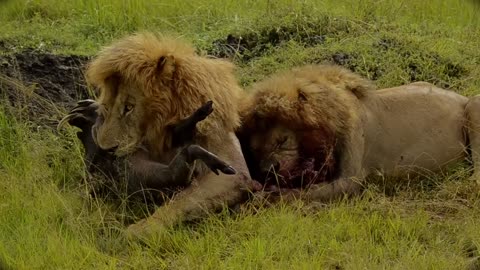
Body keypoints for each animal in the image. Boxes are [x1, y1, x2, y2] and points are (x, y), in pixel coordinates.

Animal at [81, 33, 258, 238]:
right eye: (107, 107)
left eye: (129, 107)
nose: (106, 149)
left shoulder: (232, 172)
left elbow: (180, 202)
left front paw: (138, 230)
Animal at [237, 63, 480, 202]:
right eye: (255, 150)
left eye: (282, 140)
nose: (268, 170)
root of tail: (460, 97)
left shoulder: (350, 179)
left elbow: (302, 193)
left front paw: (266, 197)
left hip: (474, 105)